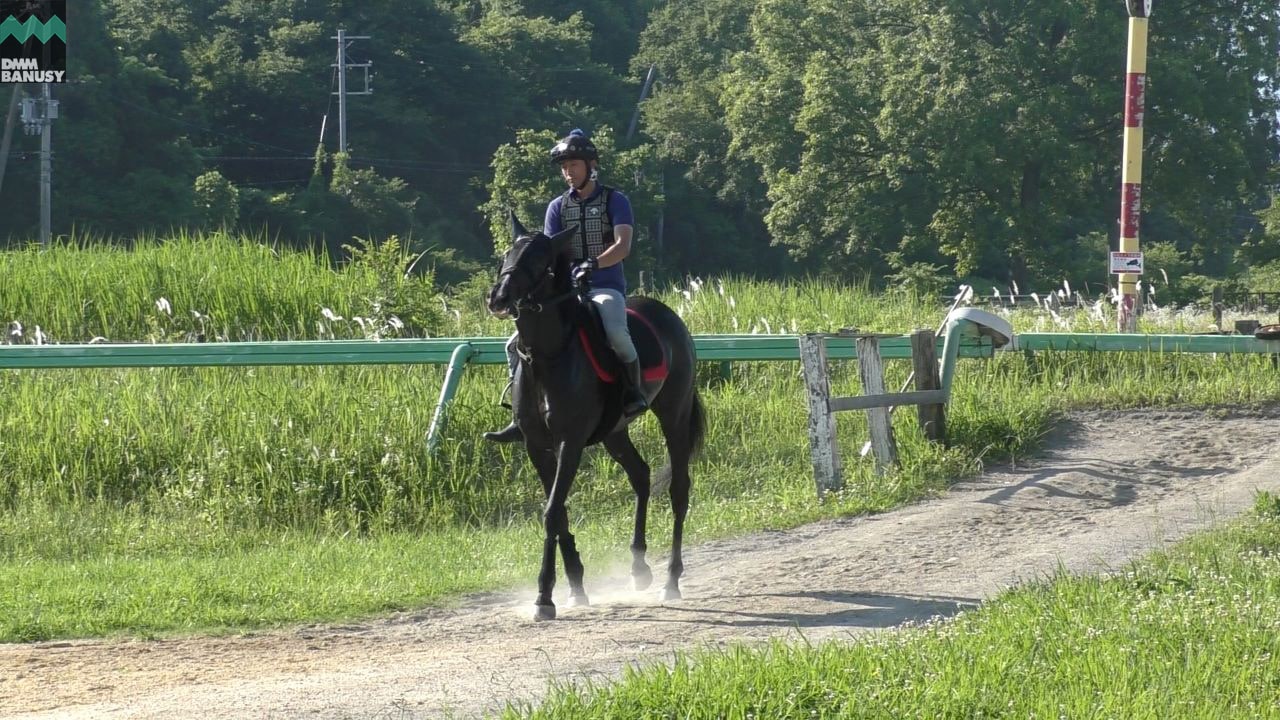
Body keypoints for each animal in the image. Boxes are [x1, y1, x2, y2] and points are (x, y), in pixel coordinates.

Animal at [488, 211, 711, 617]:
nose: (498, 297)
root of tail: (669, 316)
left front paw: (544, 596)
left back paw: (671, 580)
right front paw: (575, 584)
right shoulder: (537, 447)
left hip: (673, 415)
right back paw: (638, 567)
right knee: (640, 475)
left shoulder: (570, 444)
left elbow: (551, 510)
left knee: (679, 489)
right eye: (507, 253)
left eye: (540, 260)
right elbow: (558, 511)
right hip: (615, 433)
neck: (550, 357)